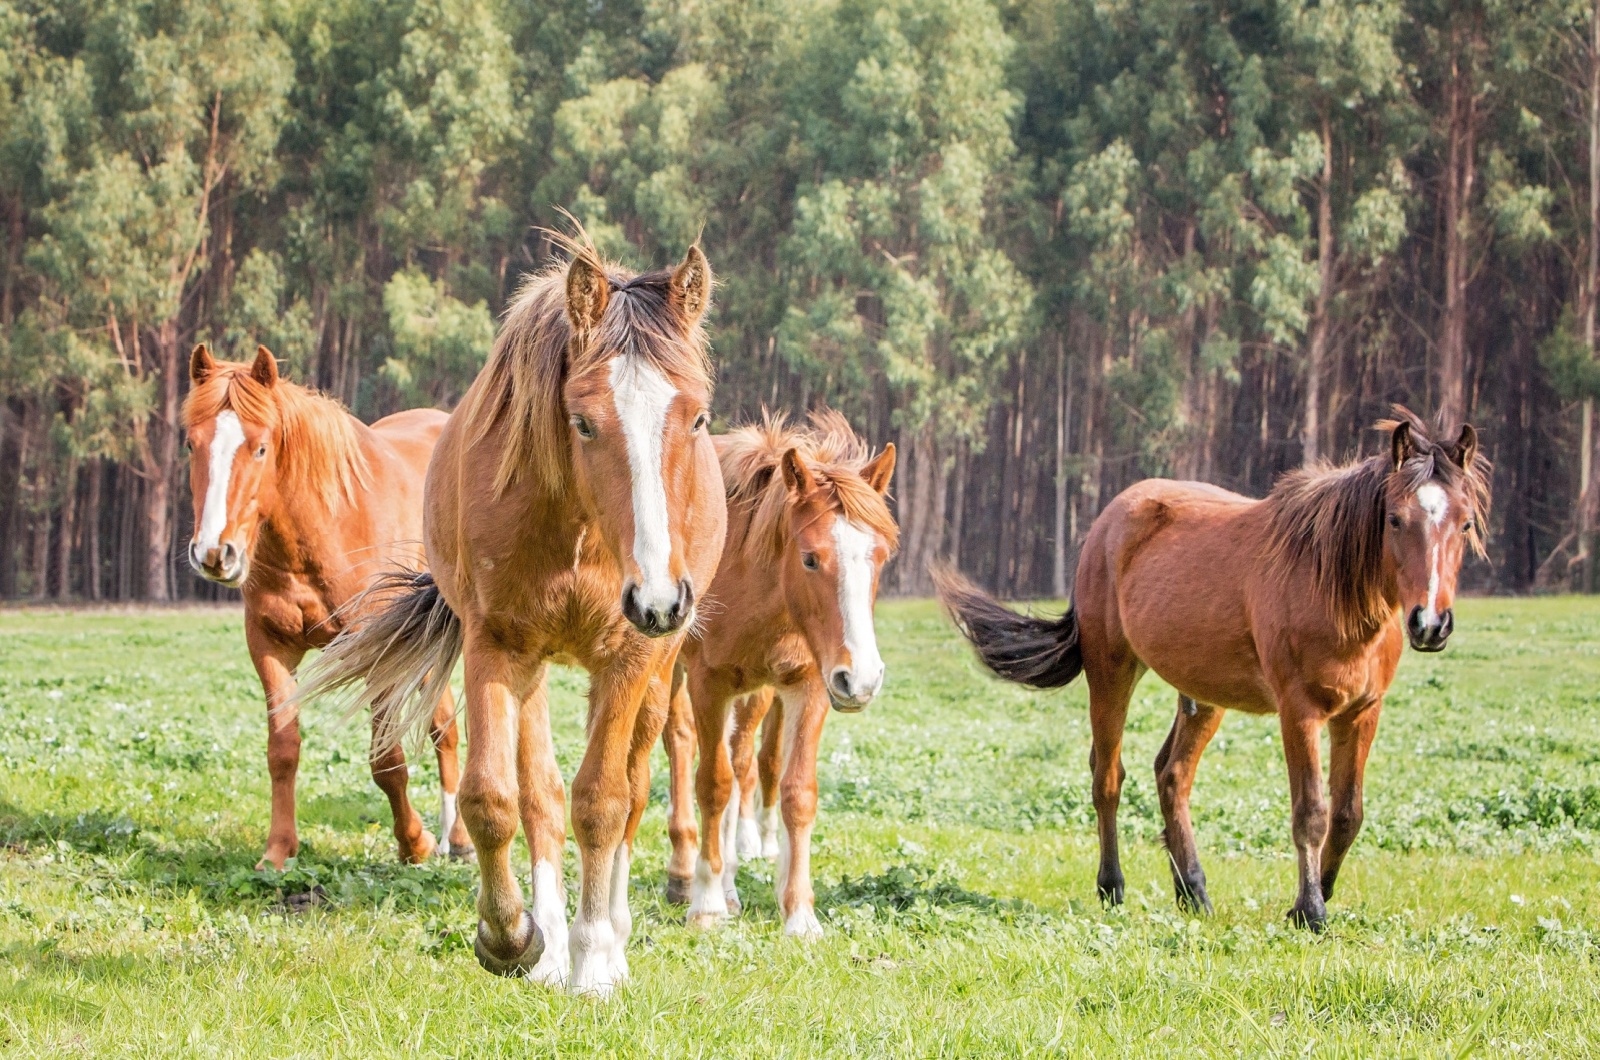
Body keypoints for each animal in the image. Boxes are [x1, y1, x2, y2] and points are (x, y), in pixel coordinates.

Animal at [183, 347, 467, 871]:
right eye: (191, 444)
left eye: (260, 448)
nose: (215, 553)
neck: (323, 528)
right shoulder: (269, 648)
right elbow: (283, 749)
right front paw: (277, 851)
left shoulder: (380, 653)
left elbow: (386, 759)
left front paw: (413, 843)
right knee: (445, 724)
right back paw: (455, 838)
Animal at [296, 238, 726, 999]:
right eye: (582, 420)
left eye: (698, 418)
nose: (657, 599)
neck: (580, 530)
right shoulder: (496, 645)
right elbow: (496, 799)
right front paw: (512, 938)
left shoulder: (628, 656)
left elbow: (604, 801)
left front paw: (595, 962)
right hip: (534, 669)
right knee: (541, 795)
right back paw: (548, 942)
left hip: (655, 672)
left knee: (633, 789)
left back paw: (609, 939)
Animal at [656, 413, 896, 941]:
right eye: (810, 558)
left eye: (881, 556)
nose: (864, 679)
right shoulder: (709, 684)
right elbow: (713, 785)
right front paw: (706, 904)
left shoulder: (810, 686)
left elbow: (796, 792)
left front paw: (799, 913)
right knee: (682, 745)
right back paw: (686, 875)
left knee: (741, 759)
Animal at [934, 409, 1491, 935]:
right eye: (1395, 519)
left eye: (1464, 523)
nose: (1430, 623)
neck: (1332, 585)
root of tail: (1109, 520)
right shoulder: (1300, 711)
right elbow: (1311, 812)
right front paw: (1310, 911)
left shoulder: (1361, 712)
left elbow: (1348, 814)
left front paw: (1321, 894)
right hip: (1112, 670)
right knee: (1108, 775)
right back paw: (1113, 886)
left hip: (1203, 694)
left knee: (1172, 775)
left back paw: (1193, 891)